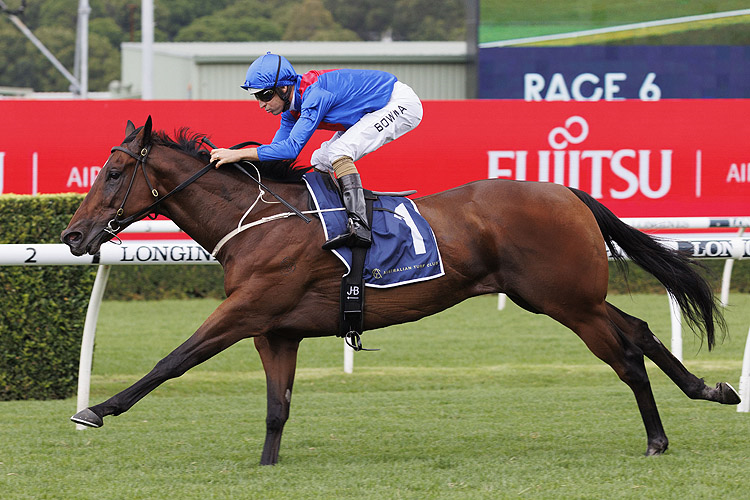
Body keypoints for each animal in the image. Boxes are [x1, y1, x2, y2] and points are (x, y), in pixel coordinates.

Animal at [60, 116, 740, 464]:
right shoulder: (277, 330)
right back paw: (712, 389)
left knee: (625, 354)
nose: (72, 234)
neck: (258, 220)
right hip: (570, 297)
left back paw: (657, 439)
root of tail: (565, 191)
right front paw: (267, 465)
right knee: (641, 330)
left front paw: (96, 409)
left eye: (113, 172)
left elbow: (173, 359)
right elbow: (278, 407)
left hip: (565, 301)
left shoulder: (246, 310)